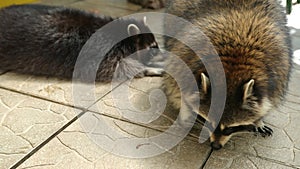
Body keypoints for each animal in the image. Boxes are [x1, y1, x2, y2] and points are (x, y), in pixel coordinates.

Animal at [163, 0, 292, 151]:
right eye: (208, 122)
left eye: (230, 129)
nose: (215, 146)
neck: (232, 68)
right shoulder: (186, 58)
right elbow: (178, 88)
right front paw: (186, 111)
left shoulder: (278, 73)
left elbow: (268, 101)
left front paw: (259, 120)